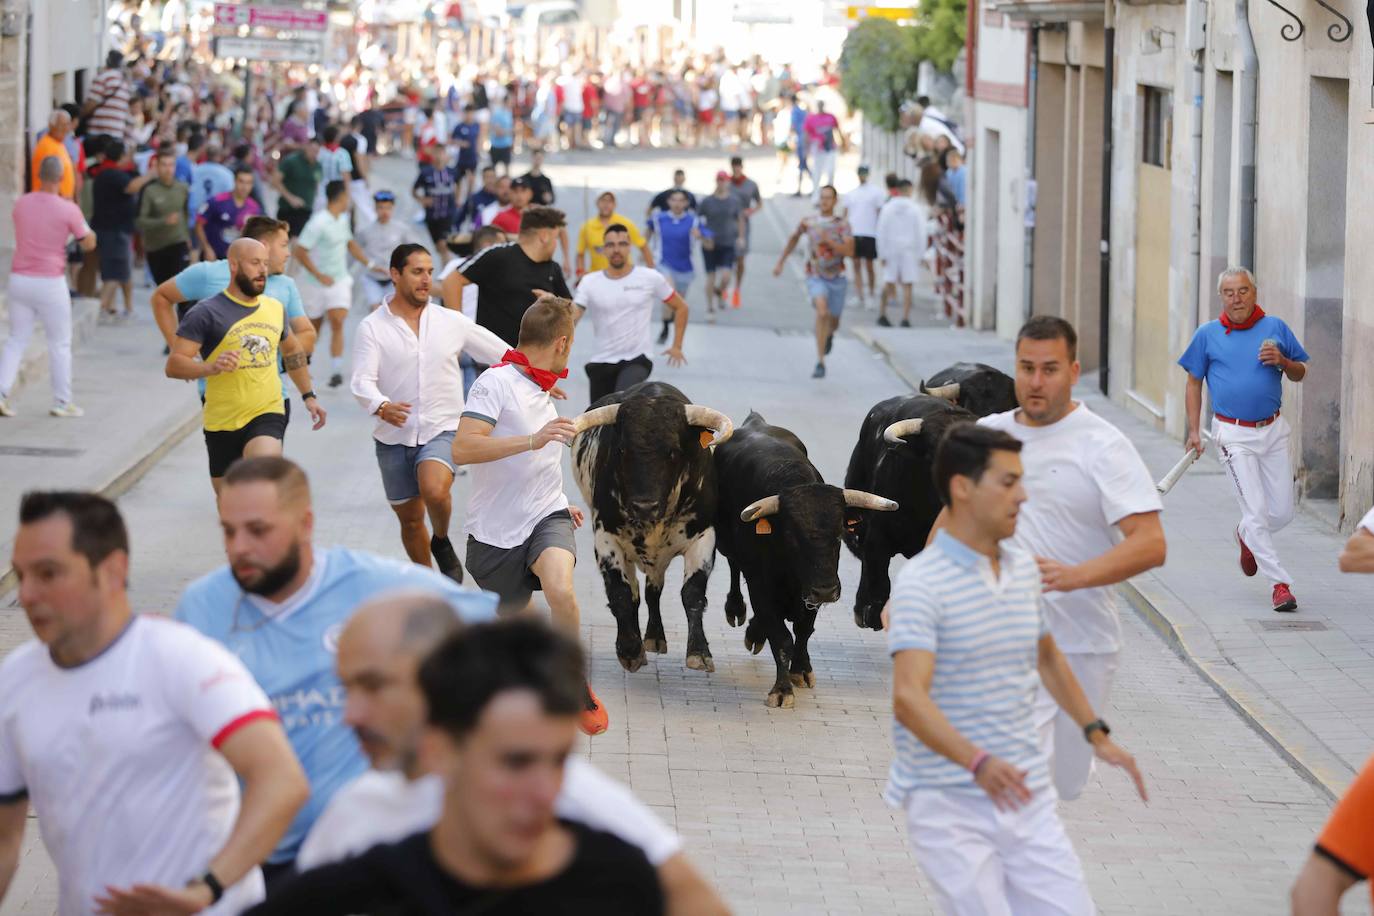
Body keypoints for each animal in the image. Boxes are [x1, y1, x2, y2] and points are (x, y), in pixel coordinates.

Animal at [568, 379, 736, 672]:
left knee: (653, 590)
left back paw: (655, 637)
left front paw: (699, 651)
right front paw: (629, 650)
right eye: (622, 449)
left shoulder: (703, 537)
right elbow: (622, 594)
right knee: (638, 592)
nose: (644, 506)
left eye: (673, 451)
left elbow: (692, 593)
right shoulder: (606, 538)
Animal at [714, 414, 895, 708]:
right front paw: (781, 689)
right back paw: (737, 611)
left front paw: (800, 670)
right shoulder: (761, 584)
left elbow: (803, 629)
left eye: (839, 534)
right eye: (791, 535)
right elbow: (781, 637)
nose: (826, 591)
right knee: (733, 566)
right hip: (727, 545)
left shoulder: (811, 592)